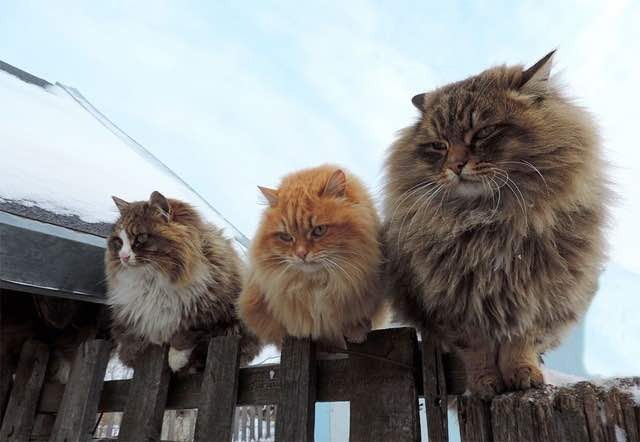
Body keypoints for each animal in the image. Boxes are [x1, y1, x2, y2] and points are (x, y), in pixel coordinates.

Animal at [105, 192, 260, 372]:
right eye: (119, 241)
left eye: (141, 237)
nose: (123, 256)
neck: (153, 280)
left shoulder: (209, 314)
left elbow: (184, 336)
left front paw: (176, 360)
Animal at [235, 165, 384, 348]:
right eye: (286, 237)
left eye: (319, 230)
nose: (301, 254)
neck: (317, 286)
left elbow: (358, 320)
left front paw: (356, 333)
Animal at [382, 51, 608, 398]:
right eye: (438, 146)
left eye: (482, 134)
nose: (455, 166)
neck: (490, 220)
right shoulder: (455, 306)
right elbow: (477, 351)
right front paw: (486, 382)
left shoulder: (533, 299)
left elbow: (519, 344)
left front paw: (522, 374)